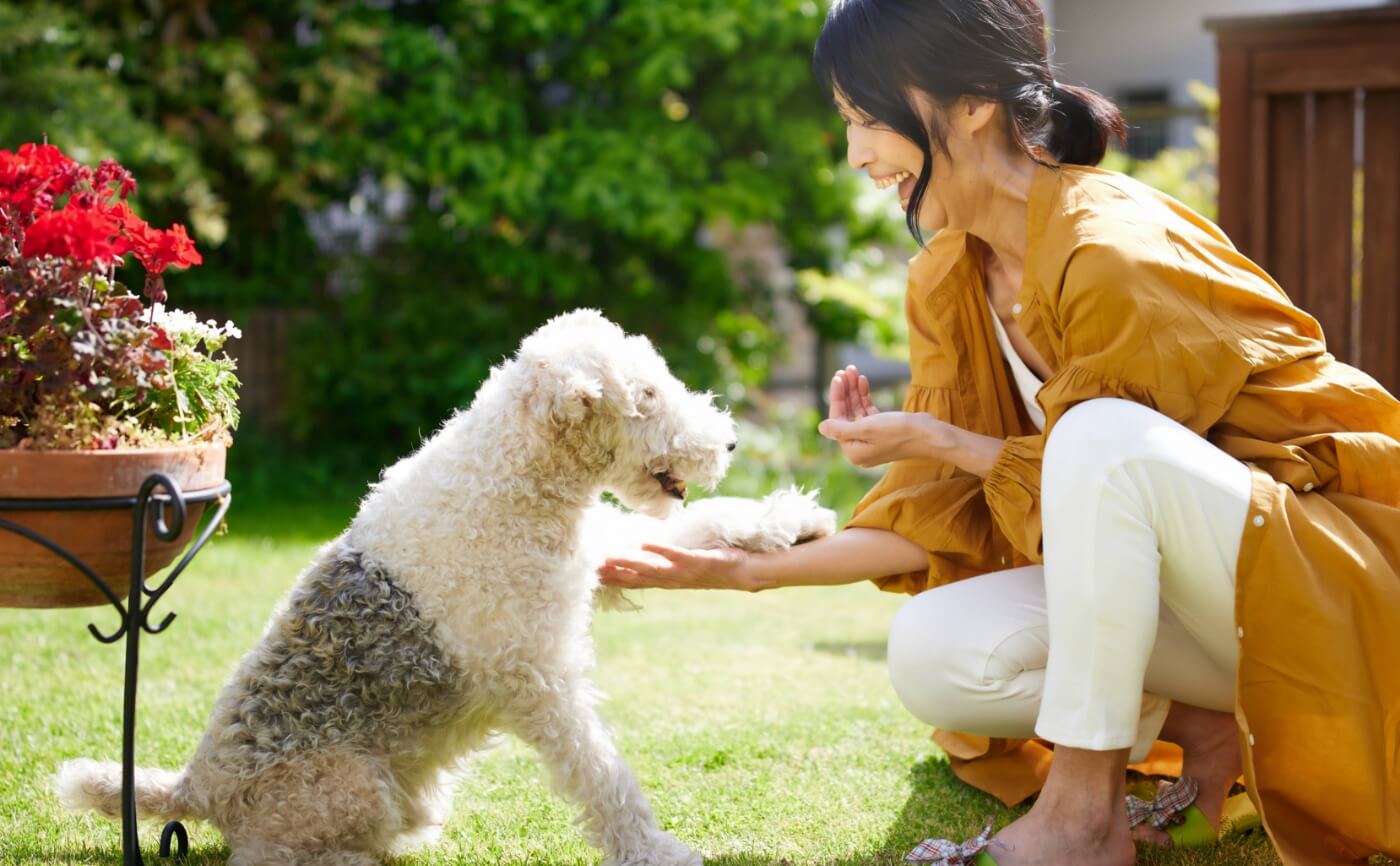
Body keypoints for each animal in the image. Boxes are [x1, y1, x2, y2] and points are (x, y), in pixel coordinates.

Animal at [57, 311, 828, 866]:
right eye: (645, 395)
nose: (729, 444)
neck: (511, 475)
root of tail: (196, 782)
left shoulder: (603, 553)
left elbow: (704, 522)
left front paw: (792, 521)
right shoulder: (539, 677)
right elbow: (601, 773)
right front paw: (653, 850)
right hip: (346, 785)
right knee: (267, 856)